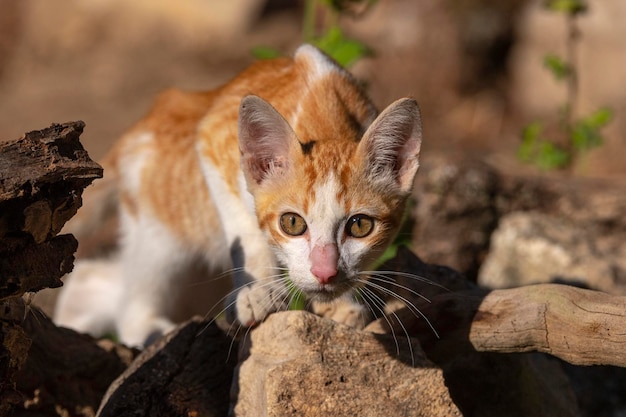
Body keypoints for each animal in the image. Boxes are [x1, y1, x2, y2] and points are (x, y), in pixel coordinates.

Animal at [56, 44, 422, 346]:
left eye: (360, 226)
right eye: (292, 223)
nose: (324, 273)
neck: (326, 110)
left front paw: (344, 304)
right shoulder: (211, 140)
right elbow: (245, 230)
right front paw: (257, 293)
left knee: (94, 278)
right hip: (164, 234)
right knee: (136, 294)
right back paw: (148, 329)